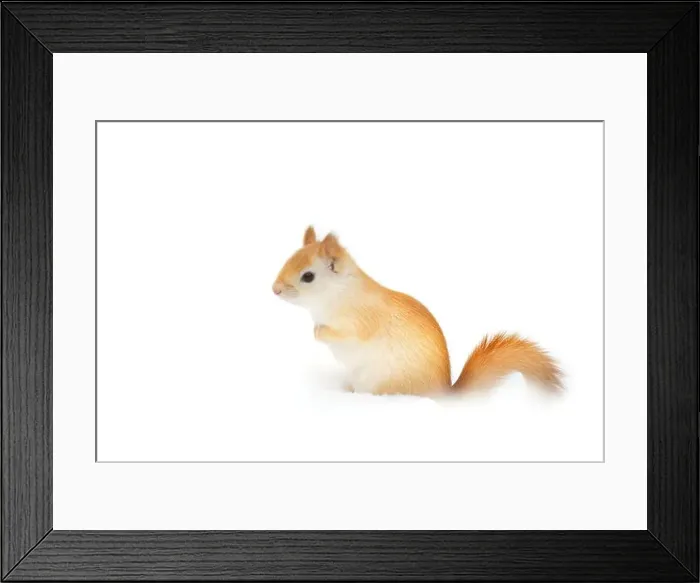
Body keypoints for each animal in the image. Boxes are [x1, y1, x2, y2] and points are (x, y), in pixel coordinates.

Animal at [272, 226, 563, 397]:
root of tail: (442, 393)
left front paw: (319, 332)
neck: (338, 294)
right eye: (288, 259)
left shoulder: (361, 320)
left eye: (308, 276)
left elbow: (347, 334)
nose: (274, 289)